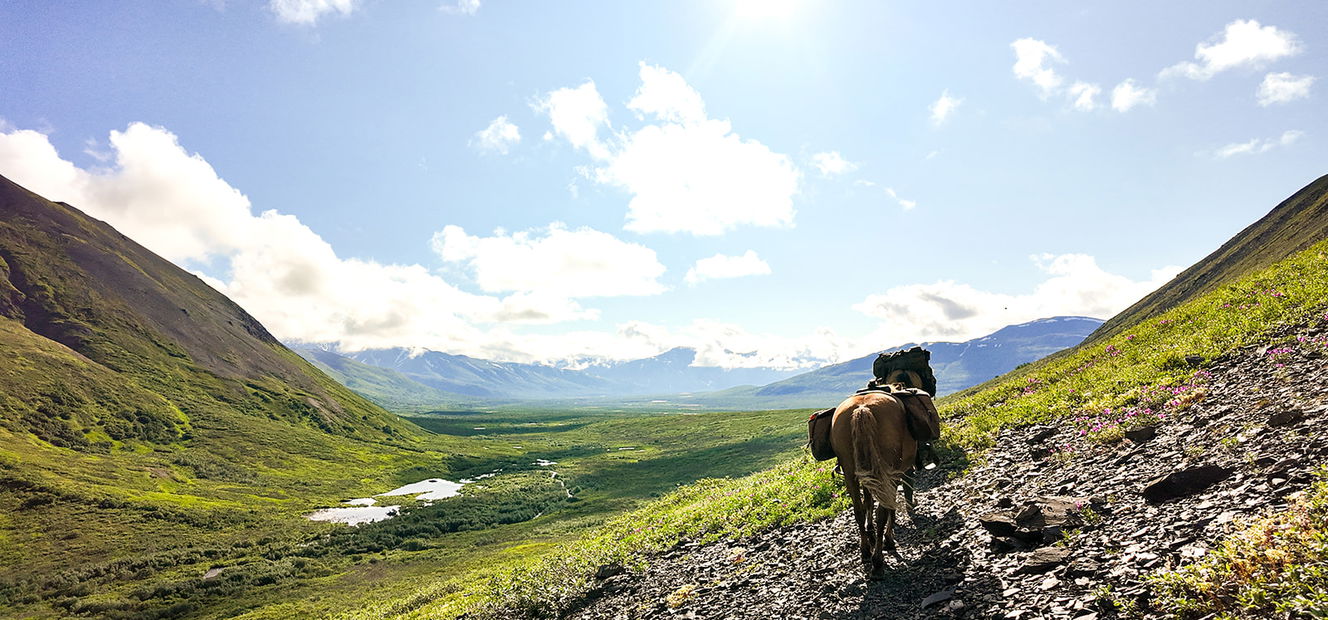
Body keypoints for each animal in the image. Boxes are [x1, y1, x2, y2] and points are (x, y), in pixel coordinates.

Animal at [829, 389, 919, 579]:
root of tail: (862, 408)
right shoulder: (894, 474)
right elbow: (889, 507)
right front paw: (889, 539)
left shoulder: (867, 474)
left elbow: (868, 501)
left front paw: (870, 530)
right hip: (887, 471)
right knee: (882, 512)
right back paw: (877, 561)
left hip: (850, 472)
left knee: (858, 510)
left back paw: (865, 551)